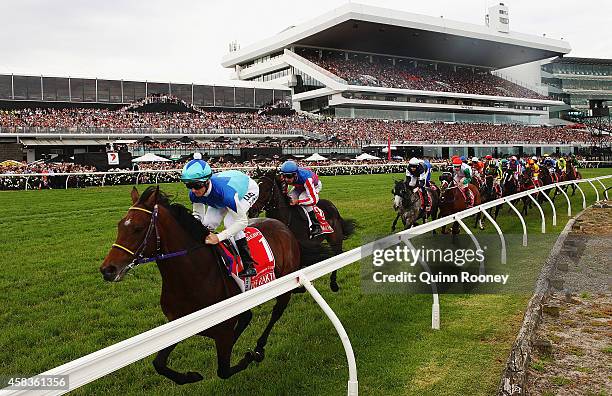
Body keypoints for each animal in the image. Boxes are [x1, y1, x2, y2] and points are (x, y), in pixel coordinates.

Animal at [99, 187, 302, 386]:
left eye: (138, 228)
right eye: (119, 225)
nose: (107, 269)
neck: (193, 276)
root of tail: (282, 225)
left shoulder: (223, 330)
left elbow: (224, 370)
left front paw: (250, 356)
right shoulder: (179, 322)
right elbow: (158, 363)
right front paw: (190, 376)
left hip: (286, 283)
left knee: (276, 312)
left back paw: (259, 347)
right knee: (247, 317)